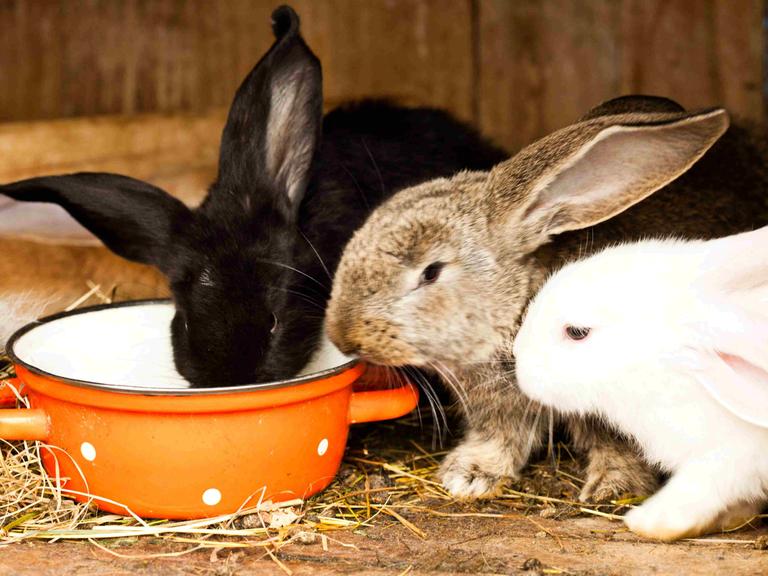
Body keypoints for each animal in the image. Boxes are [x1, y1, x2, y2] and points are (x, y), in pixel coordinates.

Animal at [326, 94, 768, 504]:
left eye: (431, 272)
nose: (343, 336)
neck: (519, 307)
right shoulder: (497, 410)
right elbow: (500, 438)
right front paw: (469, 474)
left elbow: (621, 448)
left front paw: (613, 487)